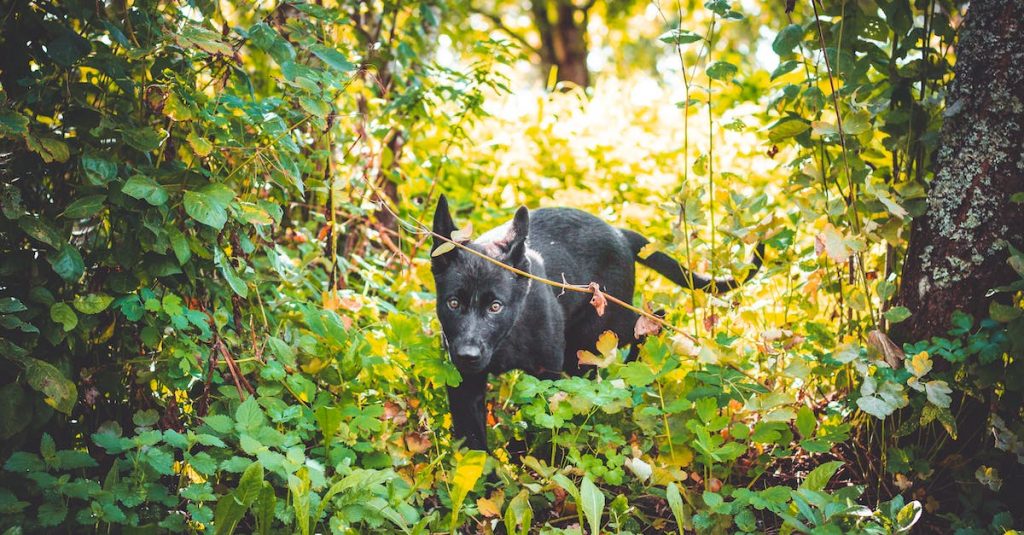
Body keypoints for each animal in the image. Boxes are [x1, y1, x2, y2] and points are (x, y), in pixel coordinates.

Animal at [425, 193, 761, 446]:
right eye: (453, 303)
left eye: (495, 307)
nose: (468, 355)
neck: (505, 340)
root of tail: (619, 233)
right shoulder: (464, 384)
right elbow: (473, 443)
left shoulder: (547, 374)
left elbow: (547, 421)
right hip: (581, 349)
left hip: (600, 328)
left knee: (651, 320)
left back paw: (635, 370)